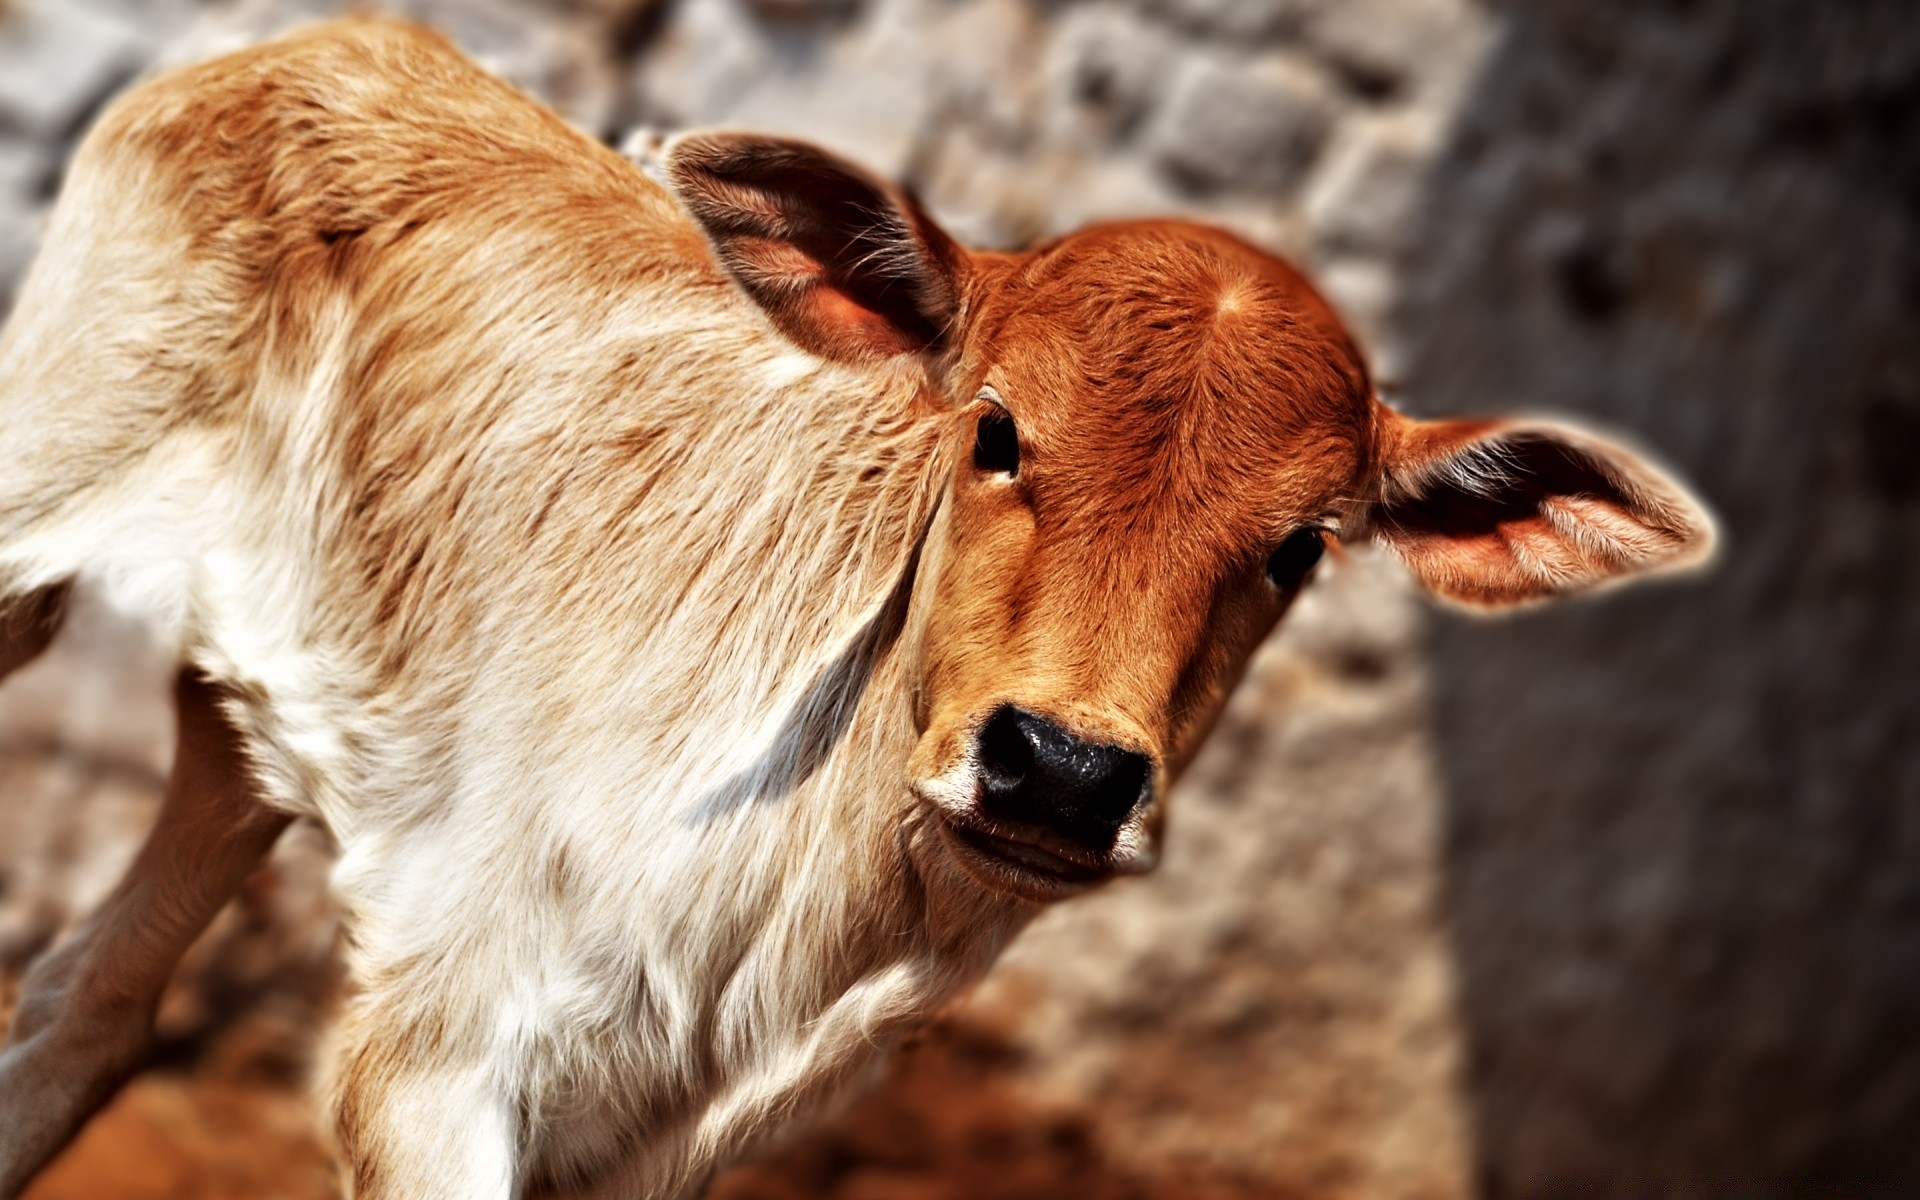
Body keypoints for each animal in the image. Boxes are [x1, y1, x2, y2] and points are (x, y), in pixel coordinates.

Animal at [0, 18, 1720, 1198]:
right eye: (995, 430)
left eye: (1302, 547)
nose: (1062, 773)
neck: (808, 906)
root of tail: (320, 40)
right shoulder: (431, 1051)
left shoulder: (662, 1146)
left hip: (253, 727)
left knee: (87, 1003)